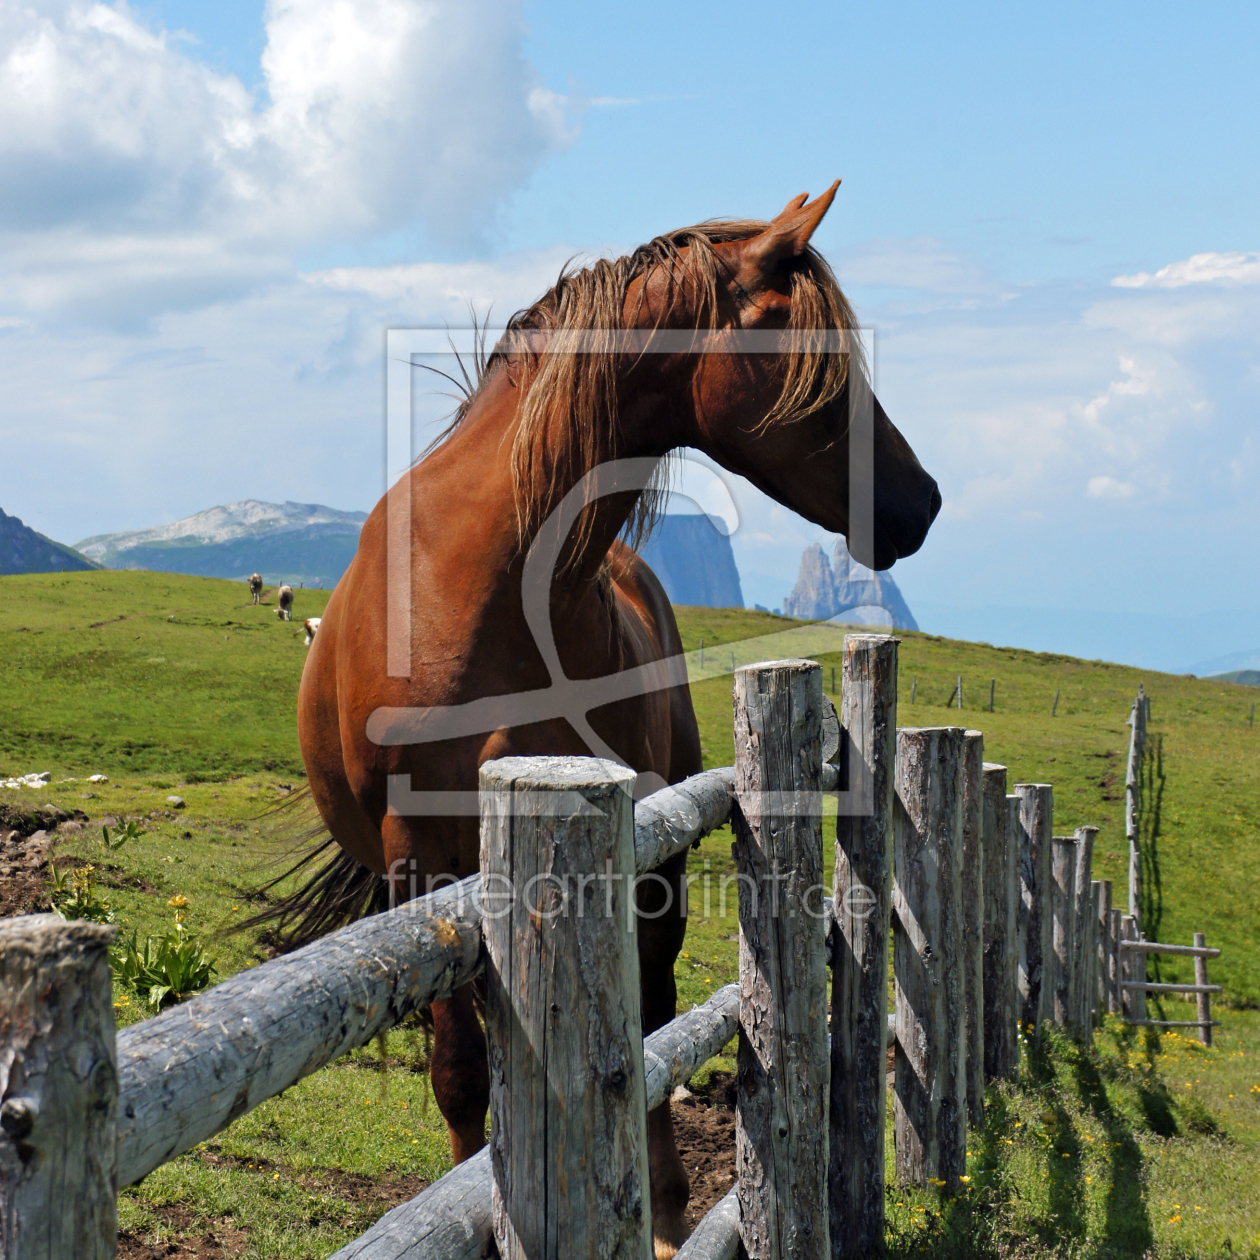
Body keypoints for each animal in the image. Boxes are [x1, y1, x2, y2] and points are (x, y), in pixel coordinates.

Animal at [283, 182, 937, 1254]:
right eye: (824, 365)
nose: (921, 502)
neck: (487, 588)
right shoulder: (420, 862)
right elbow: (460, 1076)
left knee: (653, 1007)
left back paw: (667, 1211)